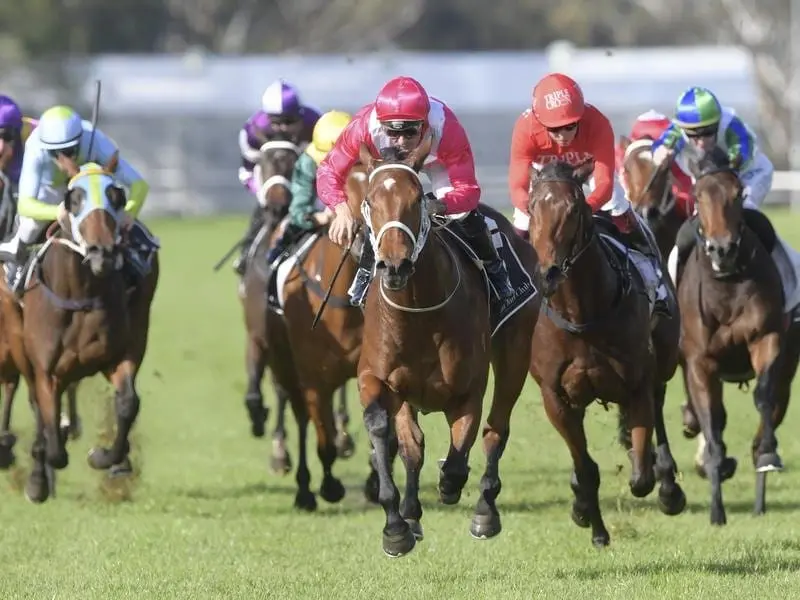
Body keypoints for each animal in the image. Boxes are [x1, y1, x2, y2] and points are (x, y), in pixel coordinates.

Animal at [4, 156, 159, 502]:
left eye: (116, 195)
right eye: (73, 199)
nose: (103, 252)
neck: (80, 294)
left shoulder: (118, 354)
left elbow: (128, 403)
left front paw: (105, 457)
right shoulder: (46, 369)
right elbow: (51, 440)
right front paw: (40, 474)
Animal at [354, 137, 536, 556]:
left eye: (416, 197)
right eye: (370, 199)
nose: (394, 266)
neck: (418, 312)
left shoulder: (467, 389)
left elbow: (458, 458)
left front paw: (451, 486)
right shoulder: (377, 377)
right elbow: (387, 432)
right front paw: (397, 526)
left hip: (516, 351)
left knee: (496, 429)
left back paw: (484, 510)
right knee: (413, 446)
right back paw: (411, 513)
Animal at [528, 159, 684, 548]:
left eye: (573, 209)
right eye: (533, 207)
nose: (548, 273)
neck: (582, 315)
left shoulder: (637, 384)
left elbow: (641, 477)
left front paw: (657, 479)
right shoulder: (556, 397)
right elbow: (586, 470)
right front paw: (589, 519)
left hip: (664, 360)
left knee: (658, 409)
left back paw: (669, 485)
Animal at [676, 148, 800, 524]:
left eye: (738, 193)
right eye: (699, 195)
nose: (722, 249)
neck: (727, 286)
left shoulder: (767, 339)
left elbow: (763, 397)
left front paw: (768, 456)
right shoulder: (699, 362)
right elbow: (711, 422)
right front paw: (716, 510)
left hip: (788, 370)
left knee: (771, 408)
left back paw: (760, 494)